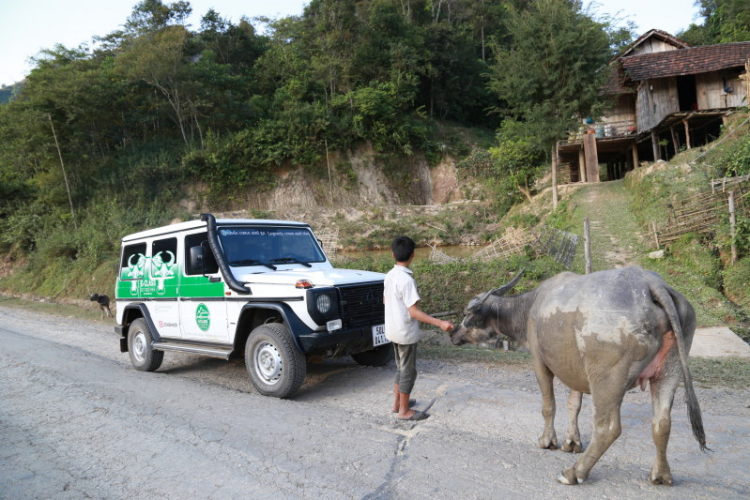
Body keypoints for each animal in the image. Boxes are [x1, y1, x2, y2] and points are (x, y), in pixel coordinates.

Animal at [452, 266, 712, 484]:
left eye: (467, 315)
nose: (453, 333)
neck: (530, 308)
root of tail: (651, 284)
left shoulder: (539, 362)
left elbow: (549, 405)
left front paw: (548, 441)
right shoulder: (575, 369)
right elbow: (573, 404)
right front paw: (572, 441)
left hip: (607, 376)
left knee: (608, 427)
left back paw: (574, 472)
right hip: (671, 369)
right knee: (662, 422)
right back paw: (661, 474)